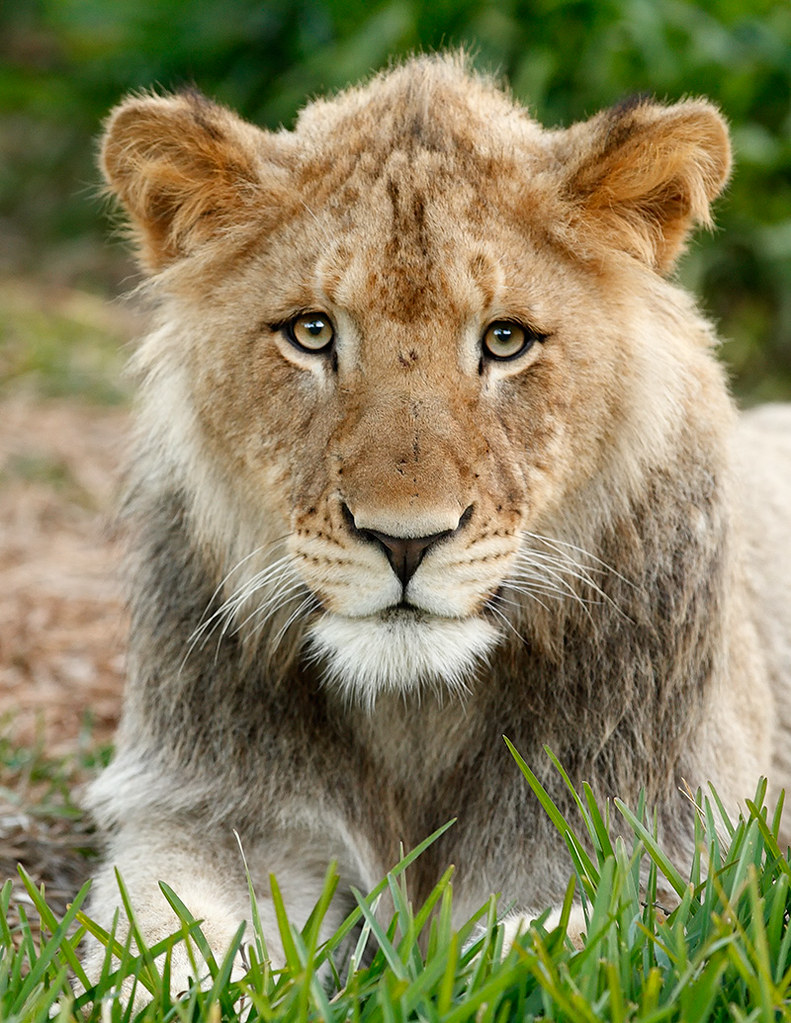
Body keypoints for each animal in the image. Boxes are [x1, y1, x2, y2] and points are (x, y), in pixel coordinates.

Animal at [86, 53, 791, 990]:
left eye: (504, 340)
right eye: (312, 331)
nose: (404, 540)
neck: (413, 714)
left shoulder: (659, 844)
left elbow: (545, 947)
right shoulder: (212, 812)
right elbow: (156, 938)